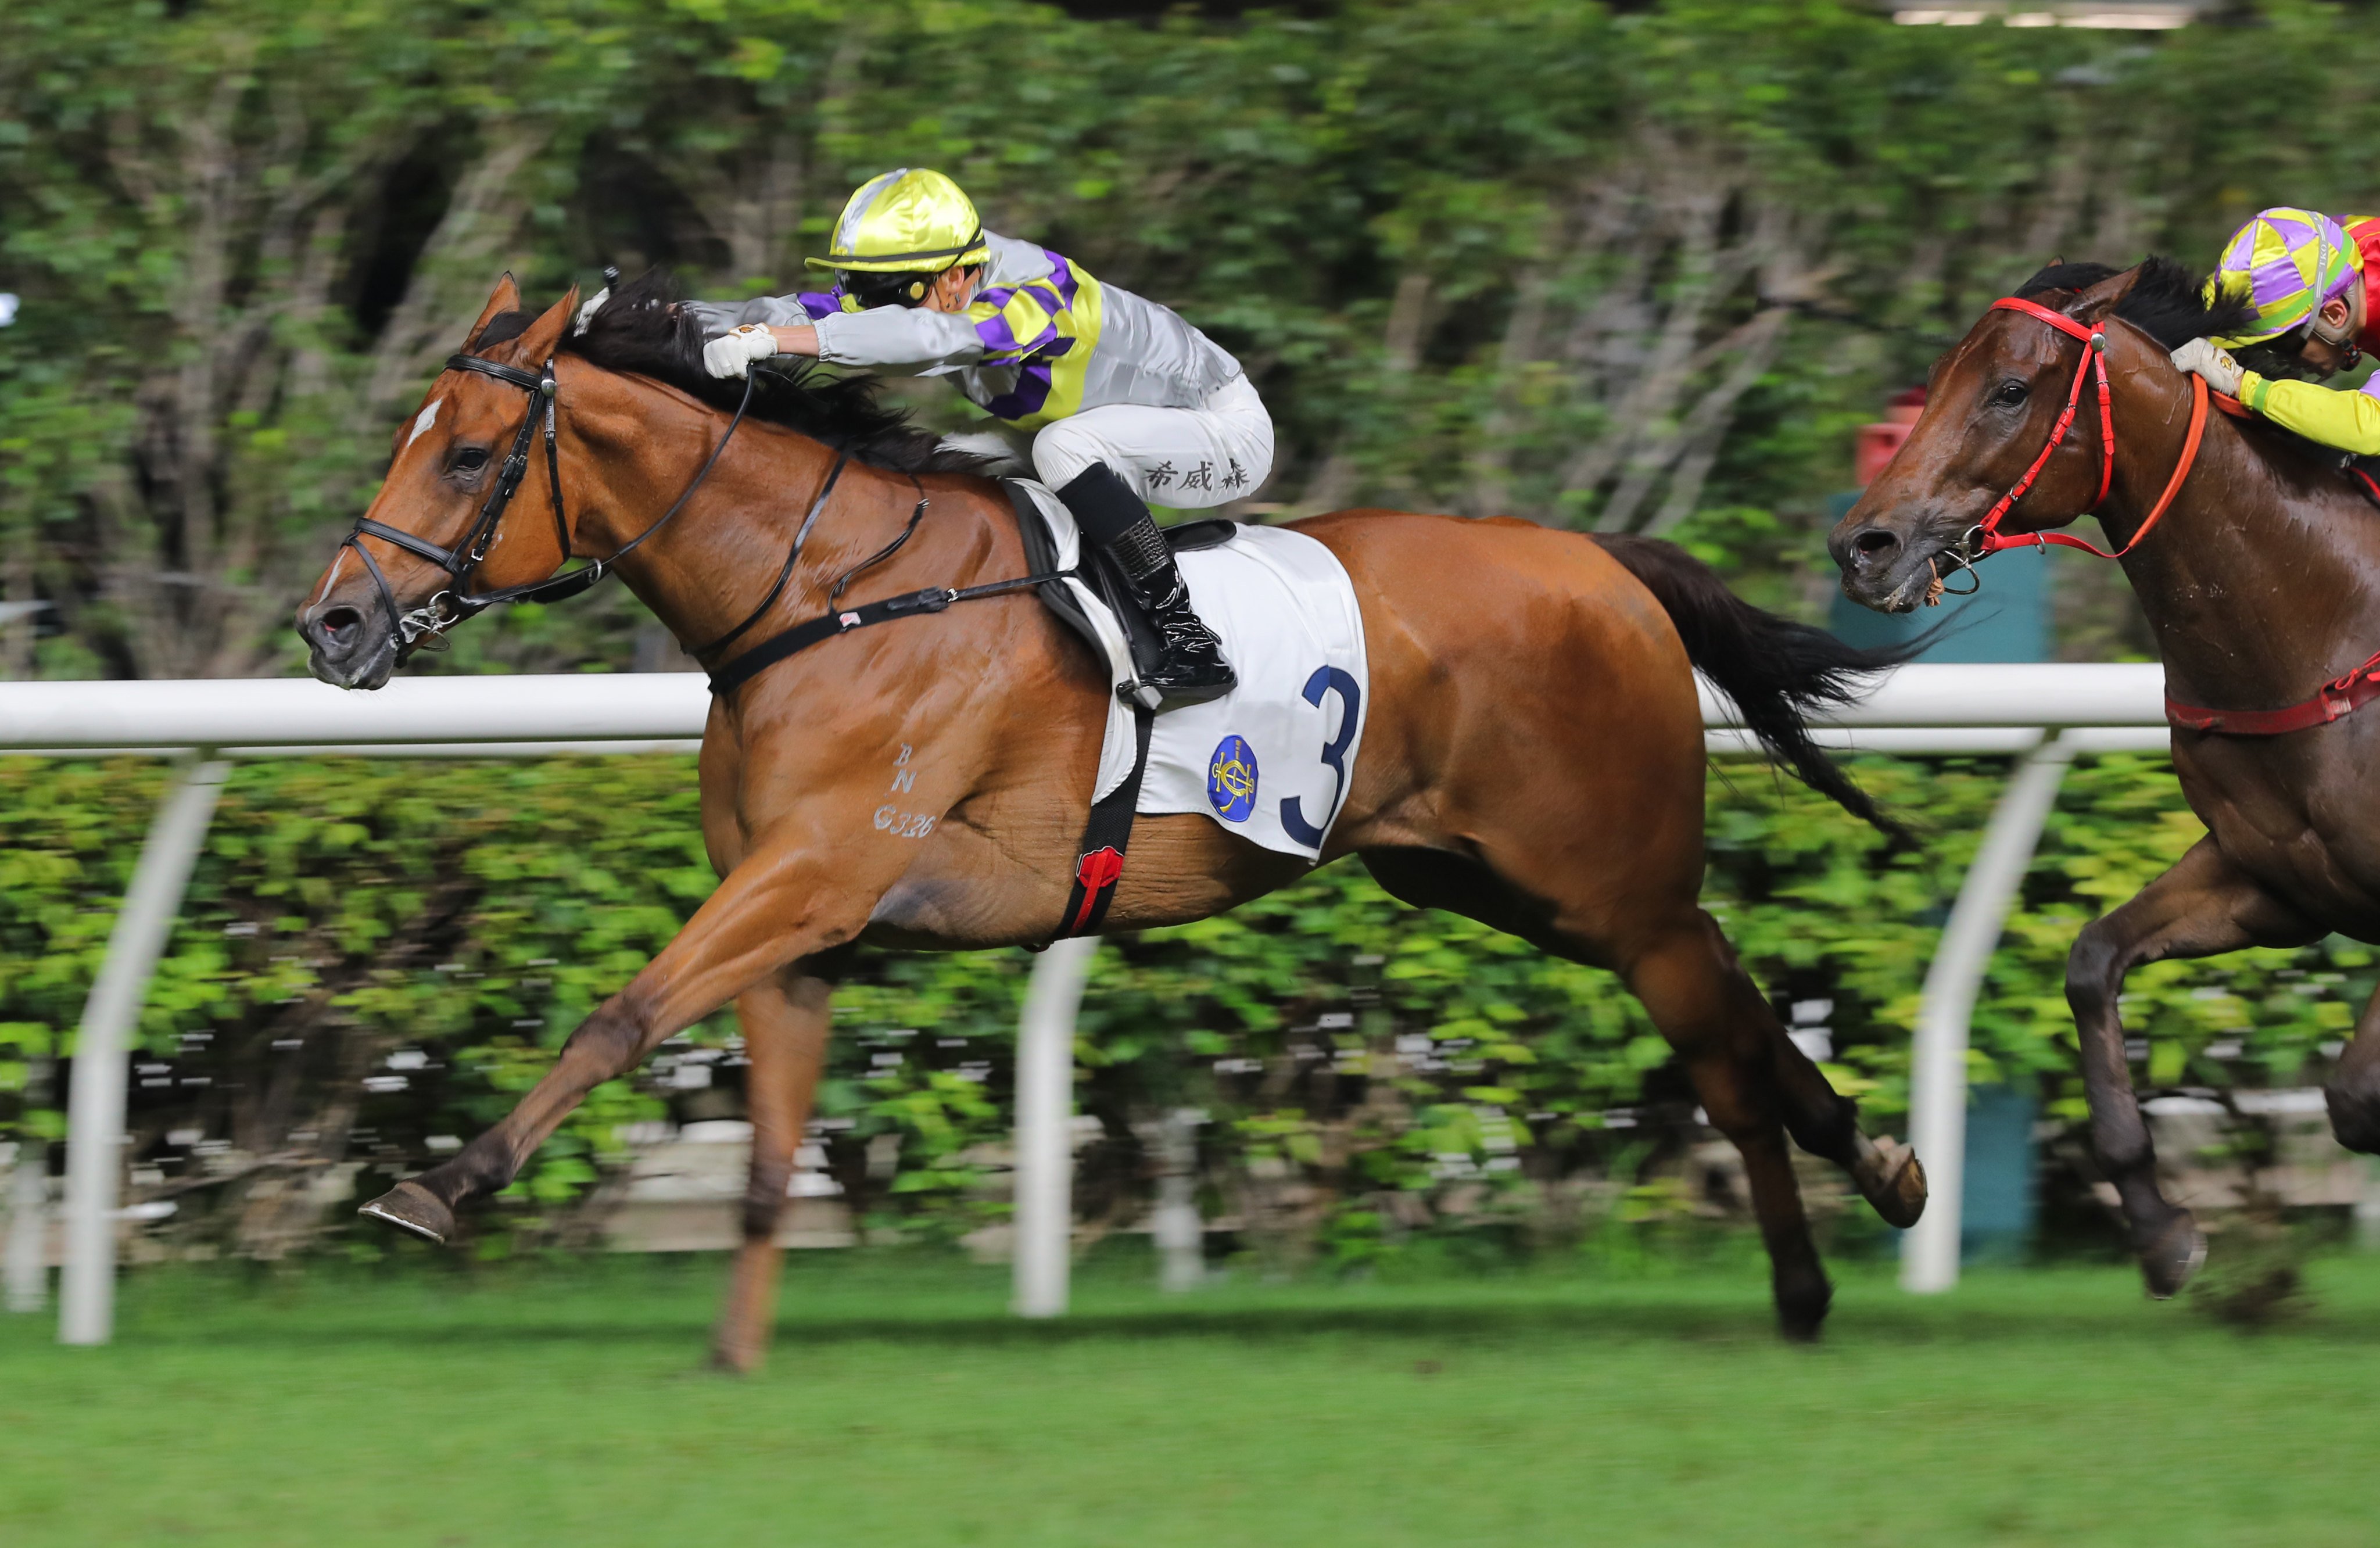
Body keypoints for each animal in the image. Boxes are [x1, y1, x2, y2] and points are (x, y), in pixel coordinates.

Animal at [302, 274, 1932, 1362]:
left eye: (465, 454)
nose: (336, 623)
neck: (826, 590)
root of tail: (1598, 560)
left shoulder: (816, 872)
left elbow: (621, 1016)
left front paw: (440, 1185)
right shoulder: (804, 920)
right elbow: (765, 1146)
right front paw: (734, 1352)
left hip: (1602, 878)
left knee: (1719, 1046)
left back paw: (1808, 1278)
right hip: (1482, 876)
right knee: (1734, 1001)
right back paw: (1882, 1168)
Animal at [1837, 256, 2380, 1286]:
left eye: (2011, 390)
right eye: (1934, 379)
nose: (1862, 548)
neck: (2324, 631)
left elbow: (2356, 1088)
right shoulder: (2276, 878)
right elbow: (2093, 961)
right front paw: (2161, 1227)